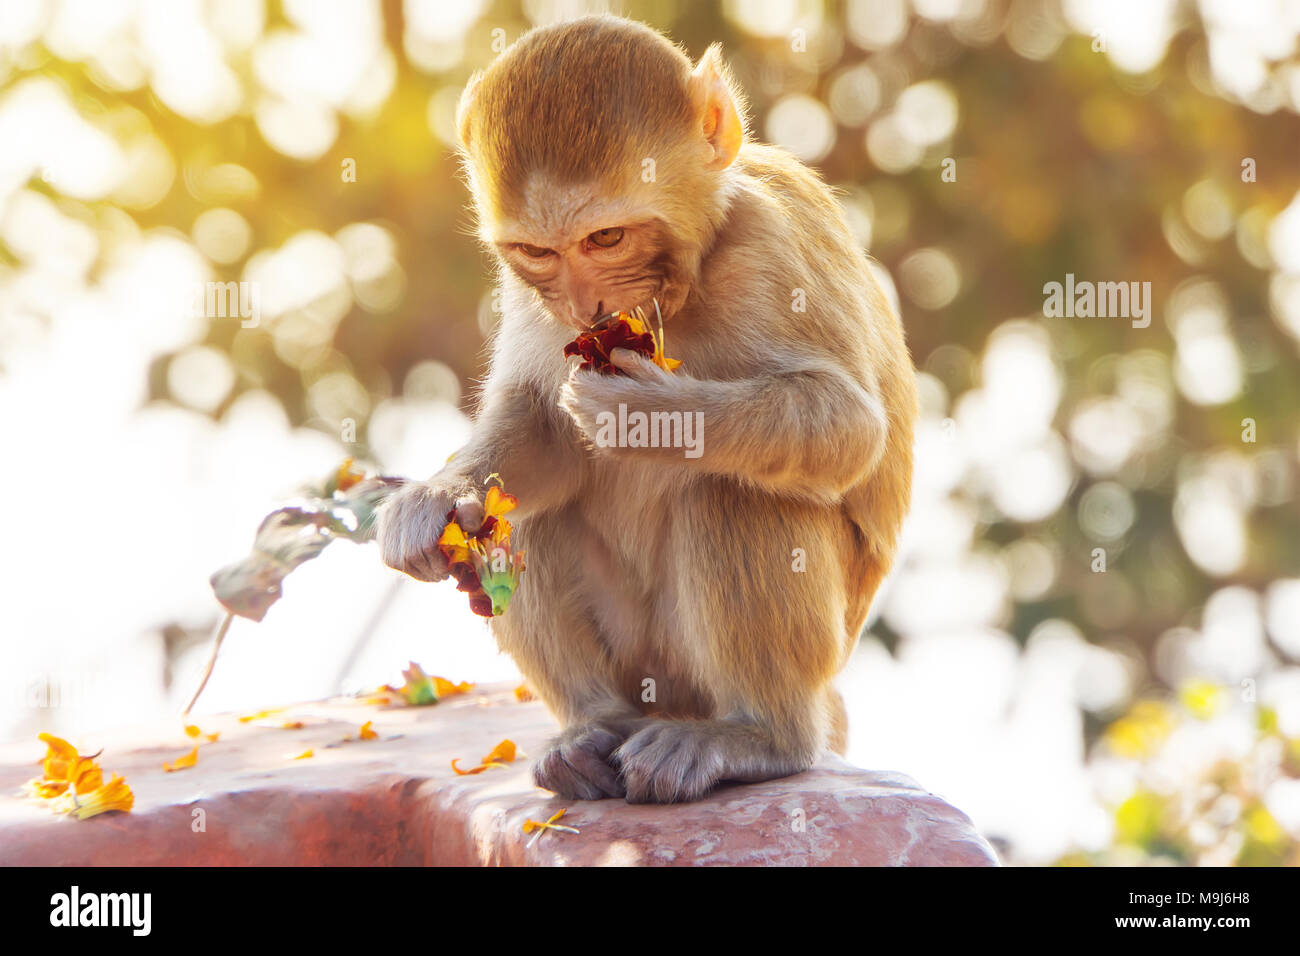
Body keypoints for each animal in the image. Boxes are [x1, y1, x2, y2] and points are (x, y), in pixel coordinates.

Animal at [379, 16, 920, 806]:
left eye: (606, 237)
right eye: (537, 251)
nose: (585, 306)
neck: (689, 278)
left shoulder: (772, 244)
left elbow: (851, 430)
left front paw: (649, 418)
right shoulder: (530, 295)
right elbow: (539, 433)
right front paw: (434, 498)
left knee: (731, 492)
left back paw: (758, 736)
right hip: (645, 668)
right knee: (518, 514)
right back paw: (591, 729)